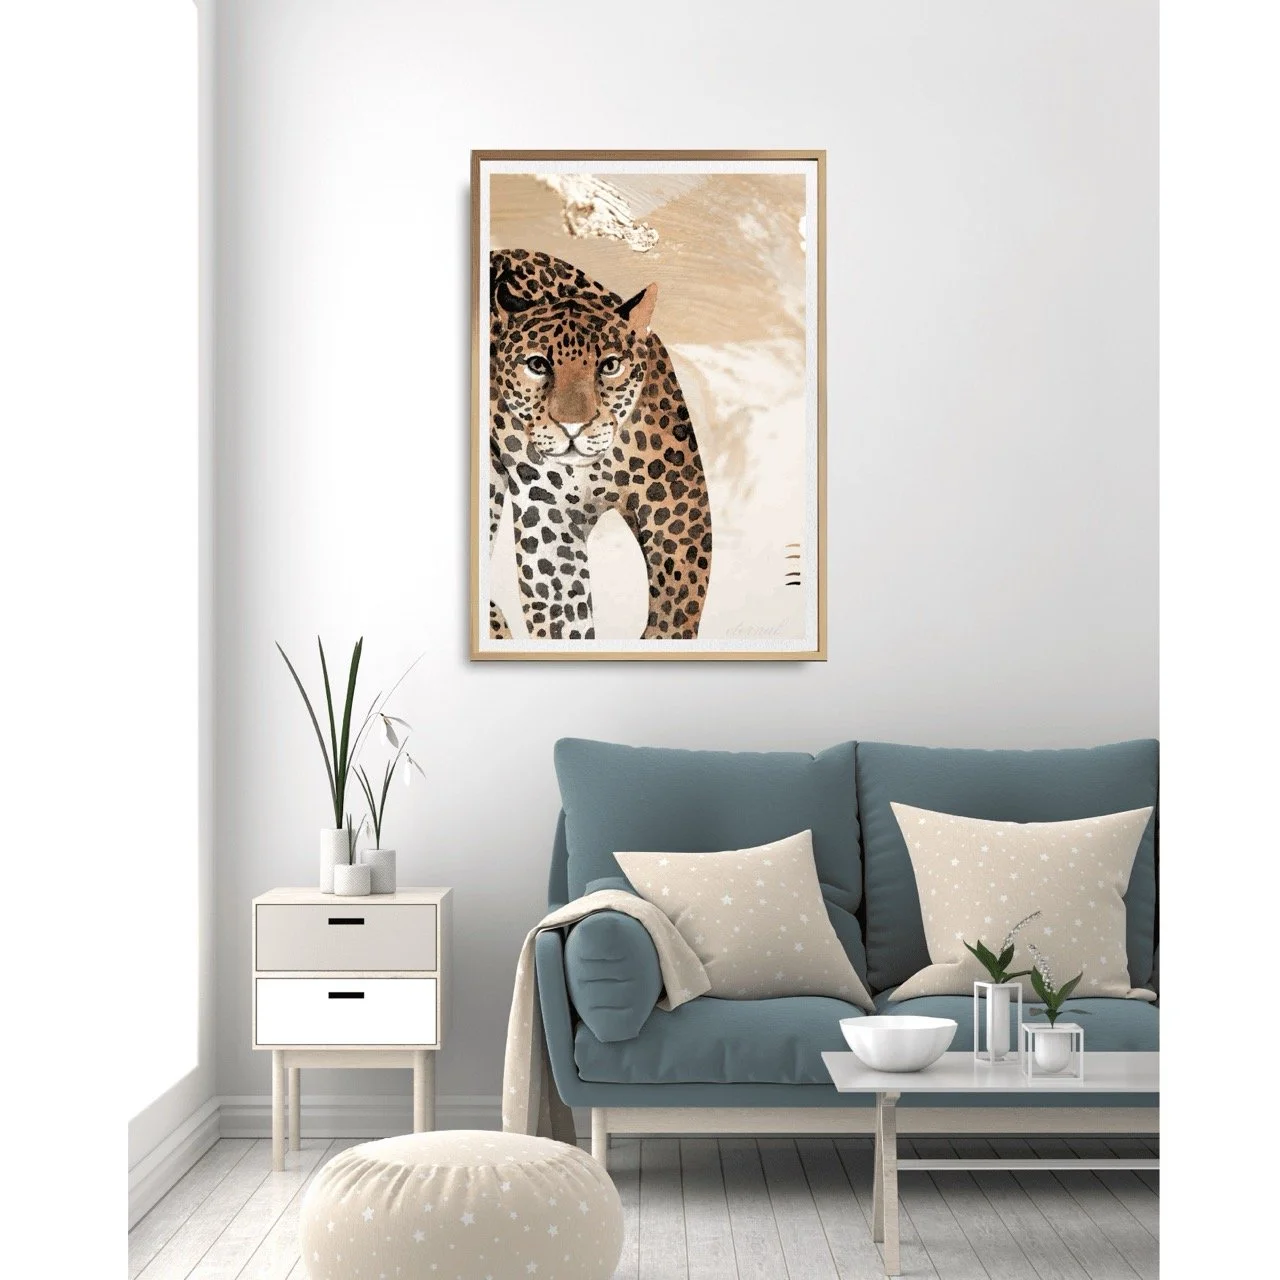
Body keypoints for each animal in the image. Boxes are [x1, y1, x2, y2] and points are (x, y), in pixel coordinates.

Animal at [487, 248, 713, 642]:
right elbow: (564, 616)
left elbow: (678, 600)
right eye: (537, 365)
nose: (573, 426)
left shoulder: (677, 500)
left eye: (609, 366)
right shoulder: (550, 522)